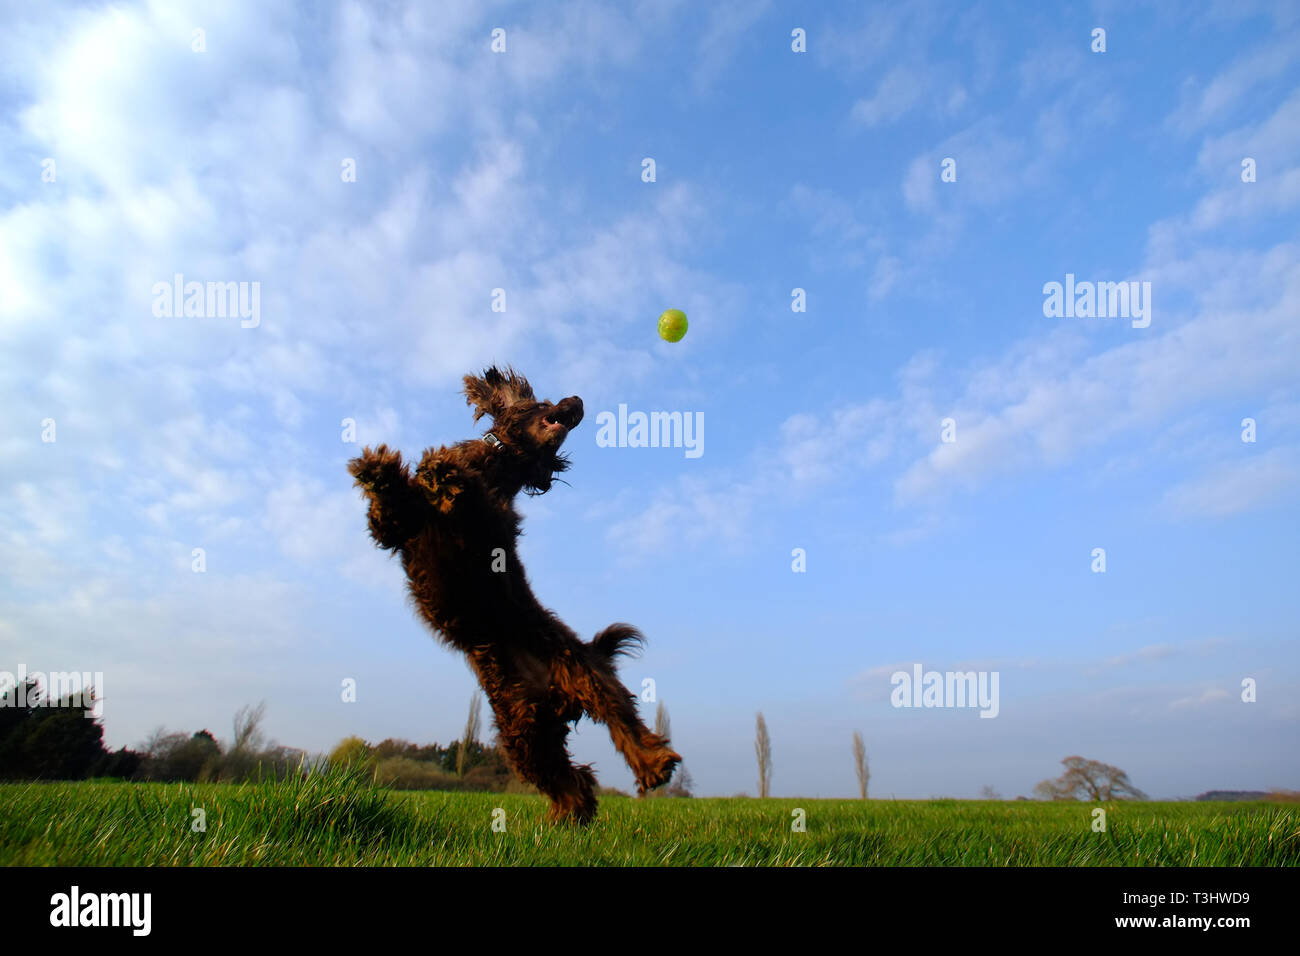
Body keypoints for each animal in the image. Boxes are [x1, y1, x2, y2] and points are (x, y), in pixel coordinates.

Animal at [345, 366, 681, 822]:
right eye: (543, 404)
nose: (578, 401)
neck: (501, 461)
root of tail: (553, 695)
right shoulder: (398, 531)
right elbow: (389, 507)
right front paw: (379, 468)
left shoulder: (488, 531)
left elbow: (466, 496)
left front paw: (443, 473)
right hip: (522, 730)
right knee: (570, 782)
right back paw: (567, 818)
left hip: (584, 675)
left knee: (622, 721)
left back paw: (652, 762)